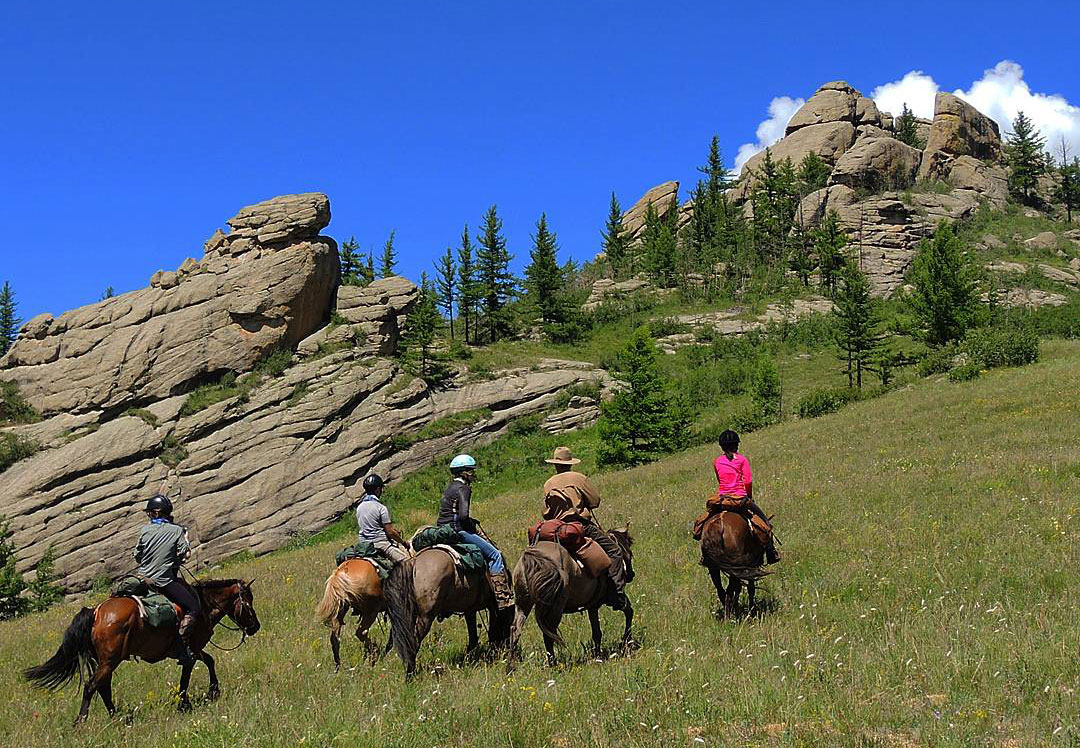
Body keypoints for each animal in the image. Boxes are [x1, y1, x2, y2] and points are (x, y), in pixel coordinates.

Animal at [23, 578, 259, 725]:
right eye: (248, 601)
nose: (255, 627)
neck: (203, 605)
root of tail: (96, 612)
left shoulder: (193, 650)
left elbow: (209, 660)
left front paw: (213, 691)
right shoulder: (190, 651)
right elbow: (186, 678)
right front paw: (185, 704)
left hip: (107, 661)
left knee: (103, 687)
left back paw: (117, 717)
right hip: (110, 661)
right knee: (92, 686)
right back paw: (81, 721)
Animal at [509, 524, 635, 664]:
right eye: (629, 551)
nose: (631, 574)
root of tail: (534, 557)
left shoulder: (592, 607)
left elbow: (596, 632)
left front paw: (598, 656)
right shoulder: (614, 599)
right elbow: (629, 611)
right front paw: (627, 641)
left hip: (523, 603)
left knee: (516, 630)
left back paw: (511, 664)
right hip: (555, 608)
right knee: (549, 634)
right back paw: (553, 664)